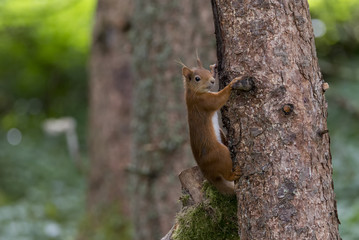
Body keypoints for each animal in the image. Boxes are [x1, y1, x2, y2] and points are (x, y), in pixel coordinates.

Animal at [181, 58, 249, 195]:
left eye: (207, 71)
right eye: (197, 78)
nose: (212, 81)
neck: (192, 92)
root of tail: (208, 174)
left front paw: (214, 69)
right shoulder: (202, 102)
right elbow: (218, 100)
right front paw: (231, 84)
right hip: (219, 154)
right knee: (225, 172)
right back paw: (234, 174)